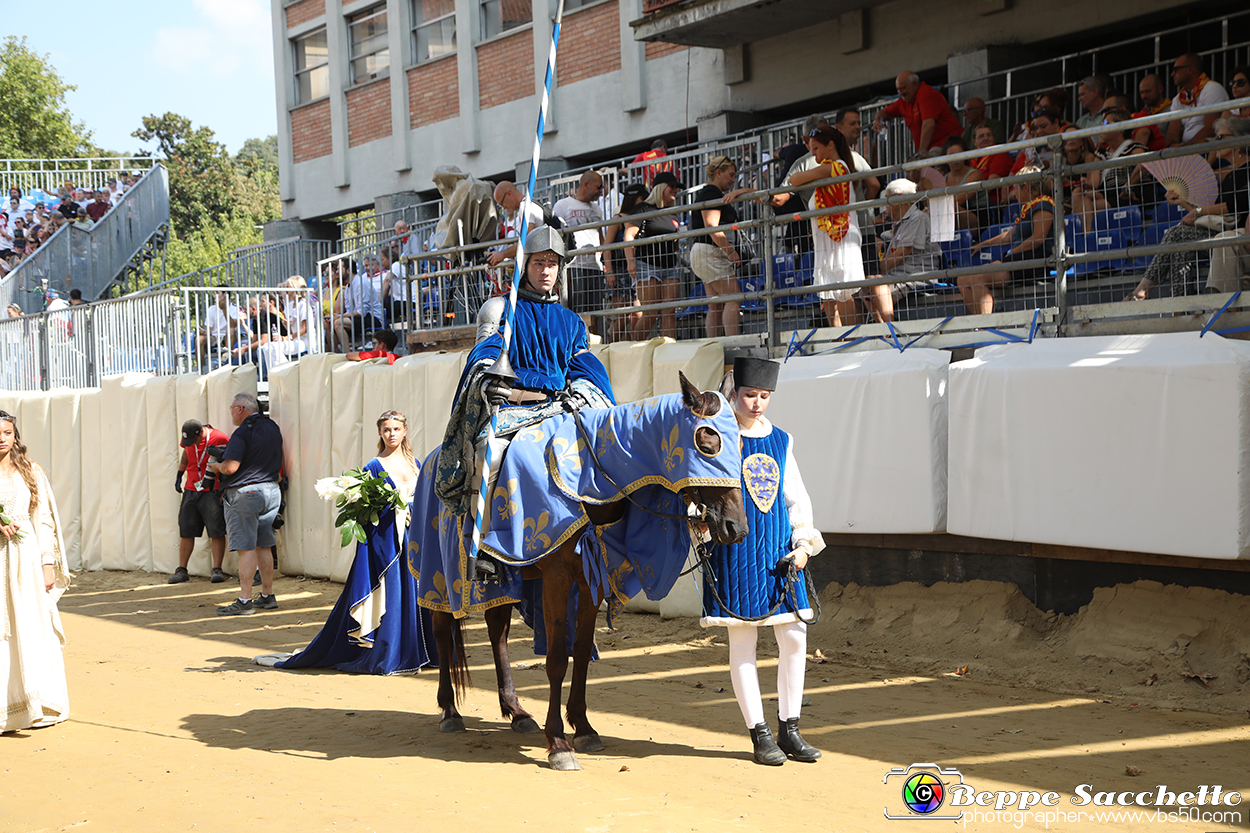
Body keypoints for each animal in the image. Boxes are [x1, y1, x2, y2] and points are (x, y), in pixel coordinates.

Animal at [425, 372, 745, 770]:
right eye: (707, 442)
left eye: (741, 443)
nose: (736, 527)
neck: (590, 477)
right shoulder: (557, 580)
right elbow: (556, 658)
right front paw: (559, 742)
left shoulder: (593, 580)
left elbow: (580, 652)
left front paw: (583, 726)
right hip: (441, 575)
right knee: (442, 629)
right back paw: (450, 711)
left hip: (503, 583)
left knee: (497, 631)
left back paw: (516, 711)